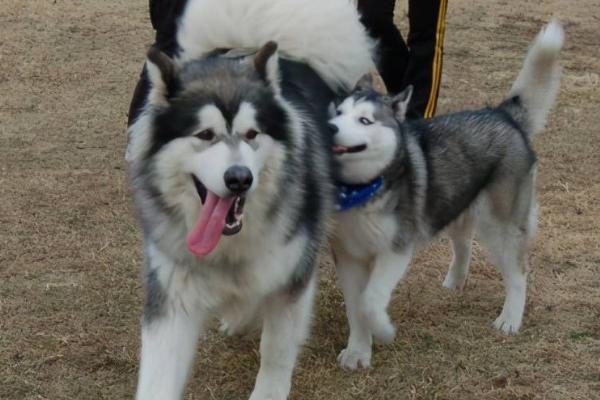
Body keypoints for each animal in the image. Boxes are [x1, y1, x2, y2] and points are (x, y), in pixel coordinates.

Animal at [125, 0, 372, 396]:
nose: (239, 179)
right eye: (204, 134)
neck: (229, 245)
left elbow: (275, 350)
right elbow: (158, 379)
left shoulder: (291, 277)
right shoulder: (171, 295)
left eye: (253, 133)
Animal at [326, 18, 564, 368]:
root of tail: (502, 114)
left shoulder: (396, 250)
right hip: (455, 202)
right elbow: (356, 309)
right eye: (338, 113)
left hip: (501, 227)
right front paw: (358, 351)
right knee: (464, 244)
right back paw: (455, 282)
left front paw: (383, 330)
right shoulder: (349, 257)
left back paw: (510, 319)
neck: (363, 190)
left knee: (519, 271)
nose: (329, 127)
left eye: (365, 120)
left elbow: (370, 301)